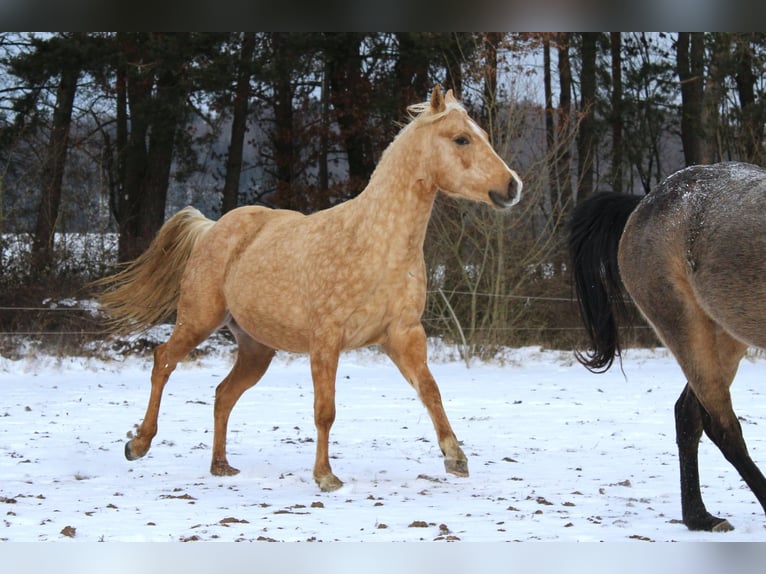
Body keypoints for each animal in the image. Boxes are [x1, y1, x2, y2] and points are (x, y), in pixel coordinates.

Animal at [95, 86, 523, 492]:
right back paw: (138, 444)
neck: (375, 244)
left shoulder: (403, 336)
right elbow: (325, 411)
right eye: (461, 139)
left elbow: (430, 390)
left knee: (223, 394)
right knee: (163, 361)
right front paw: (325, 477)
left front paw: (456, 458)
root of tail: (212, 227)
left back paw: (220, 466)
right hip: (198, 320)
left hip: (256, 349)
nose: (512, 186)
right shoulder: (326, 341)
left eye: (482, 135)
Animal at [569, 161, 766, 532]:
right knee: (720, 426)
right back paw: (707, 516)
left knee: (689, 415)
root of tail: (645, 202)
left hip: (726, 335)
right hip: (685, 326)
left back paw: (699, 516)